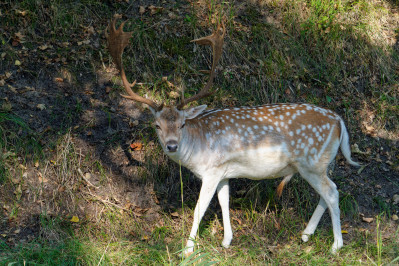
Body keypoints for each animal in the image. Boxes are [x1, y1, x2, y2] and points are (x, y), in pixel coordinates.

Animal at [108, 15, 360, 256]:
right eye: (157, 125)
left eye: (182, 124)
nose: (171, 146)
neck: (198, 147)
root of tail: (339, 121)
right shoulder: (224, 172)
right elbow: (224, 202)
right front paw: (227, 240)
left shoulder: (212, 171)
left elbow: (200, 208)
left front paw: (188, 248)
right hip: (319, 164)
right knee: (327, 192)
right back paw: (306, 234)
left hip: (311, 162)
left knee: (332, 192)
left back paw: (336, 246)